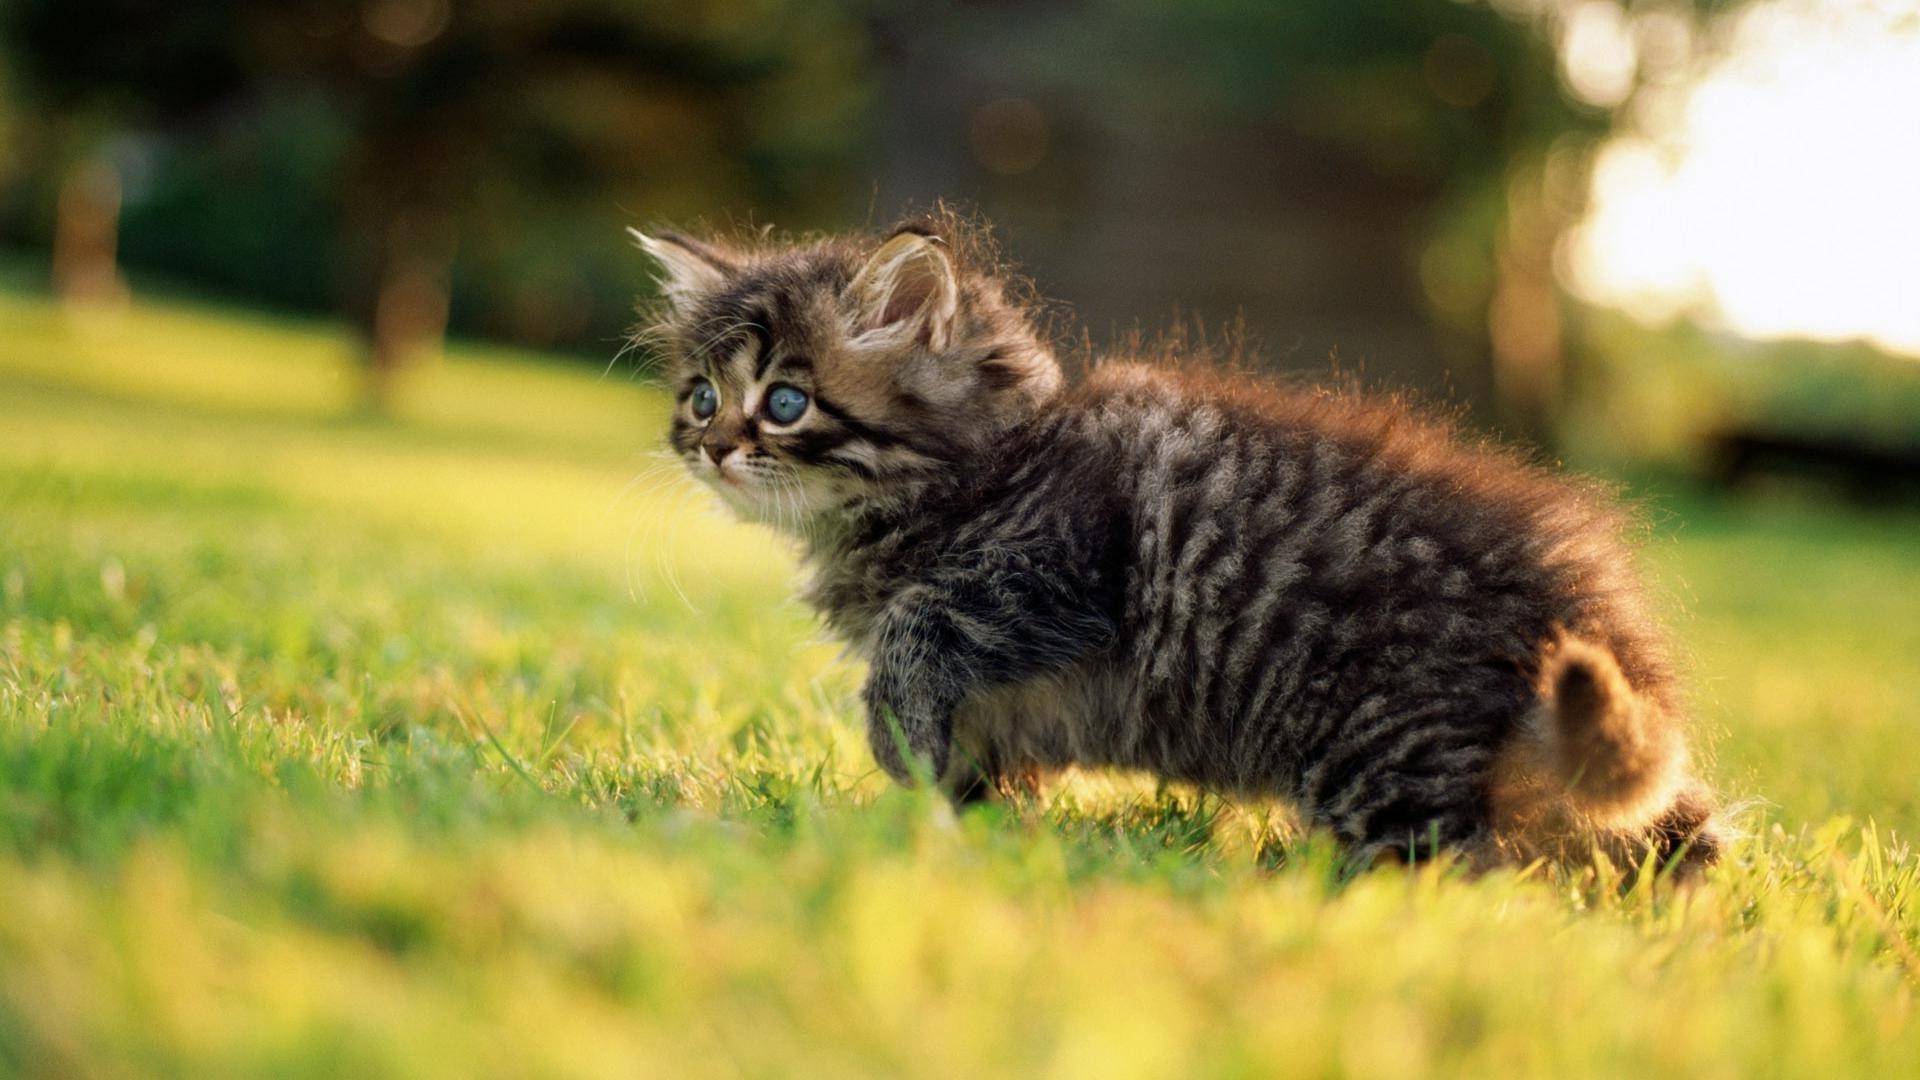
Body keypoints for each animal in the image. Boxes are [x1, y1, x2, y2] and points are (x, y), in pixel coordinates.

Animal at [633, 214, 1728, 868]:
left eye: (784, 402)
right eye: (700, 396)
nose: (712, 447)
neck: (984, 469)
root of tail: (1592, 611)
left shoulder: (1062, 569)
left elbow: (918, 631)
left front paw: (897, 744)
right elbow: (980, 770)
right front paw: (965, 823)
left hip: (1389, 757)